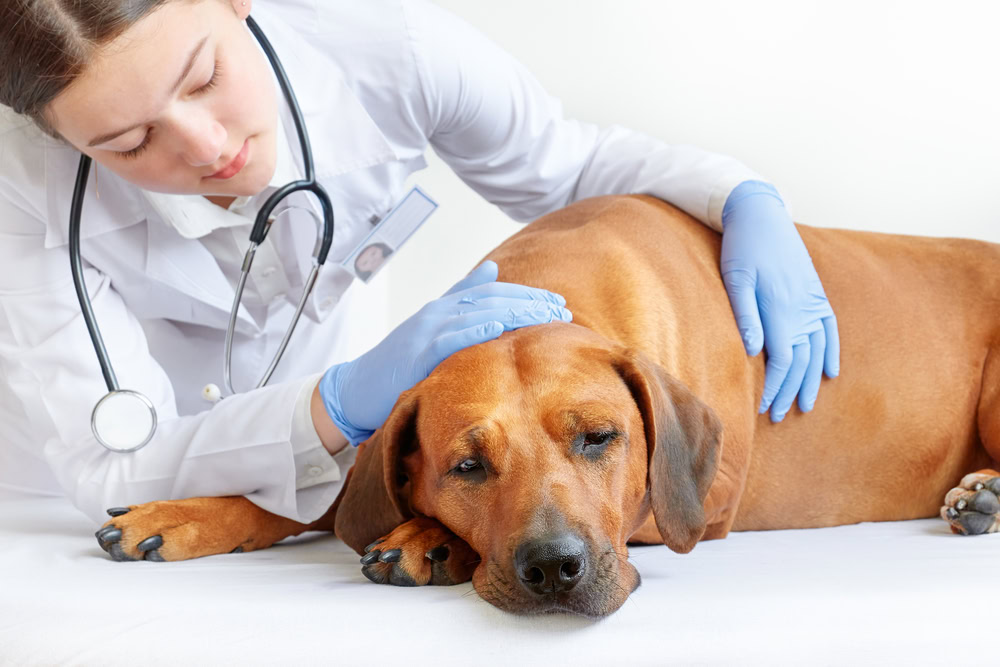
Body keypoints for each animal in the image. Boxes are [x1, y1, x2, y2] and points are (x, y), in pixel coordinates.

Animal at [95, 196, 1000, 620]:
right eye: (467, 464)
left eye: (601, 437)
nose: (553, 568)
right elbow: (314, 492)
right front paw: (185, 510)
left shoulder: (700, 505)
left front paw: (425, 538)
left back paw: (983, 493)